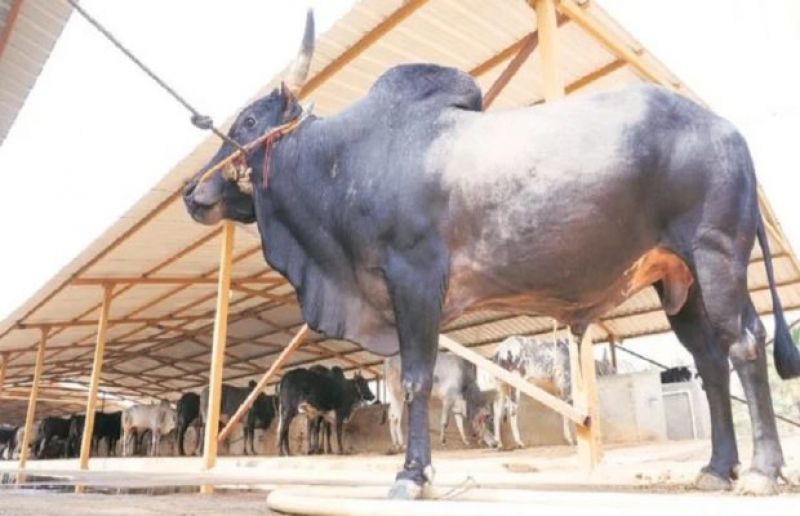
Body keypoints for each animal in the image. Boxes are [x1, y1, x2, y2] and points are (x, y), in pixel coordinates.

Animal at [182, 11, 800, 498]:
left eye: (248, 122)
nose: (192, 192)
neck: (346, 163)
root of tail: (727, 130)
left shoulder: (414, 280)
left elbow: (417, 380)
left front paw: (412, 475)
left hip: (716, 257)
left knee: (745, 344)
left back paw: (761, 471)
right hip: (681, 283)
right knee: (711, 362)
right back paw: (718, 468)